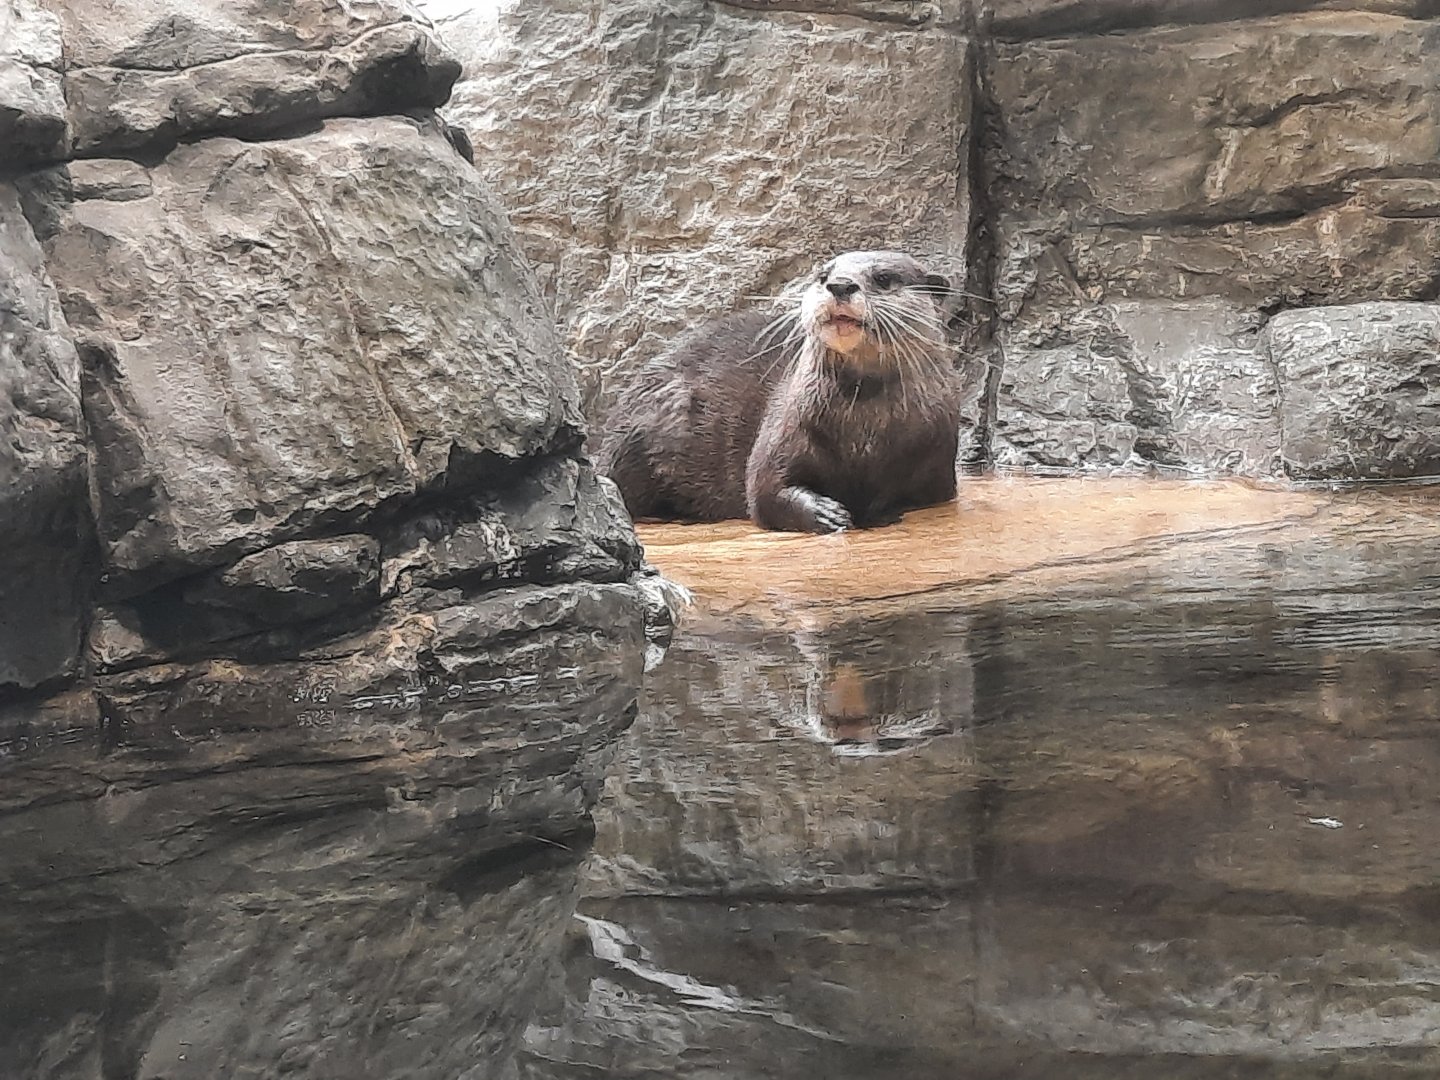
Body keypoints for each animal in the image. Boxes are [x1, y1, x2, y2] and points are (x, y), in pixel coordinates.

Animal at [598, 251, 961, 534]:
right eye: (823, 275)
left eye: (884, 278)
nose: (840, 285)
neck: (863, 435)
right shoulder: (787, 427)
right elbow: (764, 491)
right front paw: (826, 514)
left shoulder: (936, 463)